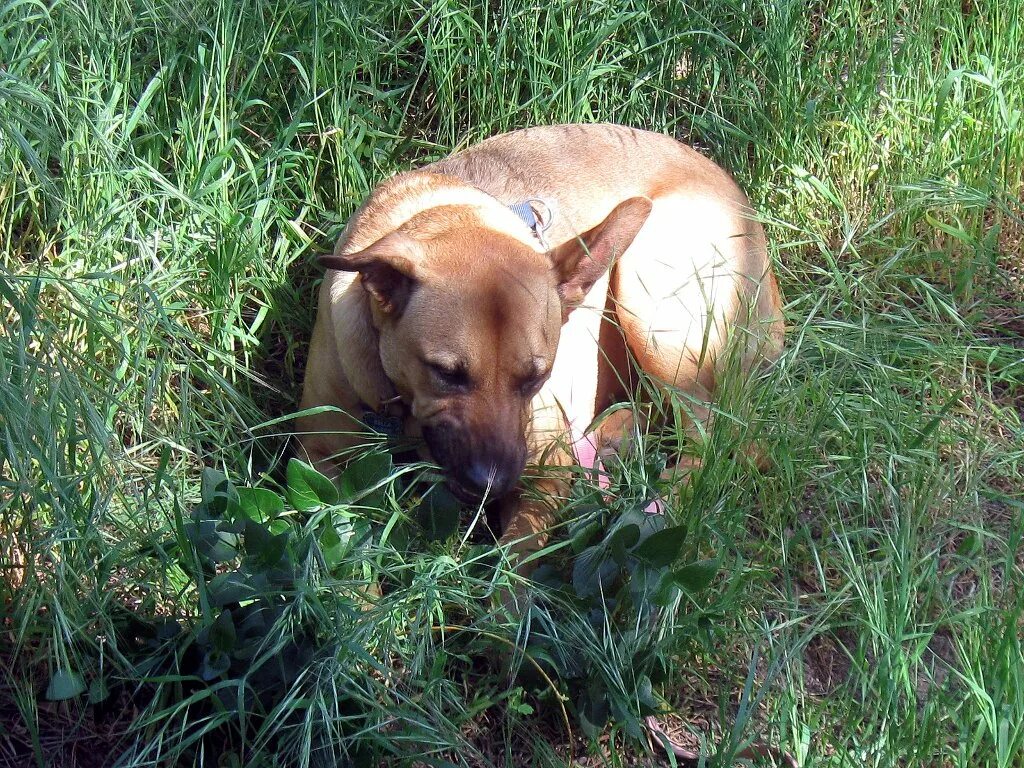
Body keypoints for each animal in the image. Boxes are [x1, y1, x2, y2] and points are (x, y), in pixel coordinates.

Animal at [296, 123, 782, 561]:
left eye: (536, 377)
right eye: (445, 373)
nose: (492, 484)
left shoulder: (544, 475)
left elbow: (512, 576)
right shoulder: (314, 460)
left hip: (651, 301)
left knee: (729, 441)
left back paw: (649, 510)